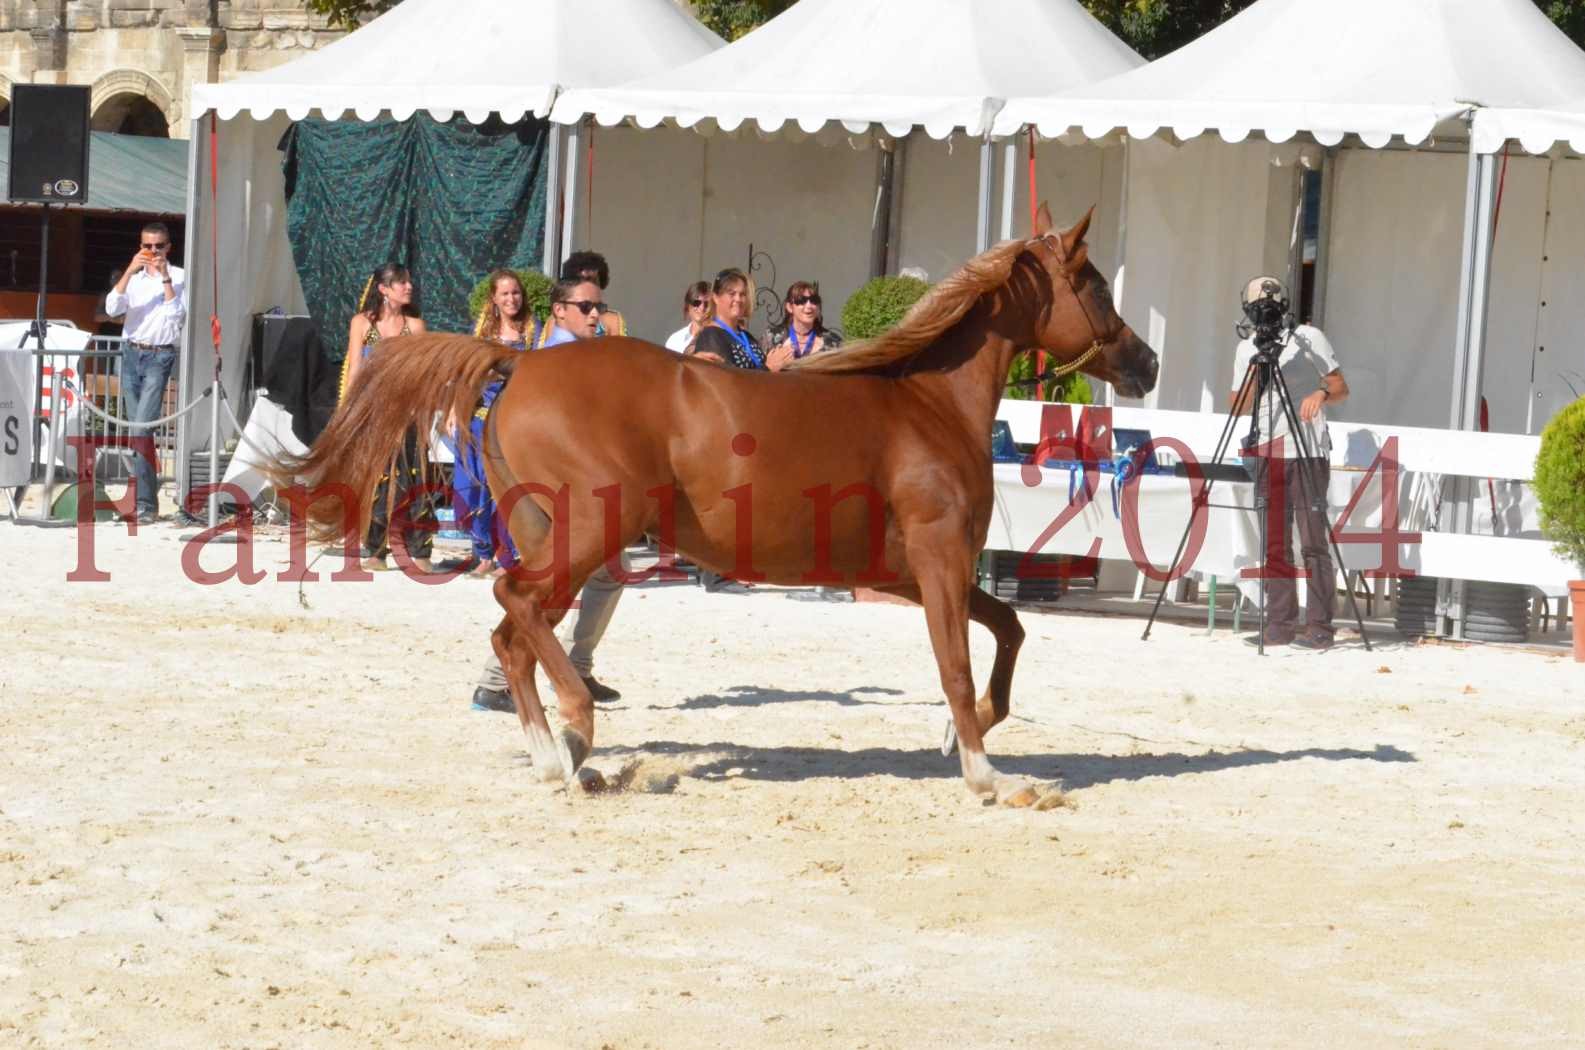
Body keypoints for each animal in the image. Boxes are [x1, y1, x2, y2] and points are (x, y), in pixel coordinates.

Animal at [278, 209, 1160, 808]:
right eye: (1093, 284)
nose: (1146, 362)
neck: (925, 405)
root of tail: (516, 364)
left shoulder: (907, 574)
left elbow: (1007, 632)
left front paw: (967, 729)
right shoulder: (939, 560)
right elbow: (955, 663)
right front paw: (986, 773)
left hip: (553, 539)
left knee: (513, 631)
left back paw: (555, 751)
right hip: (588, 532)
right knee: (515, 605)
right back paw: (575, 731)